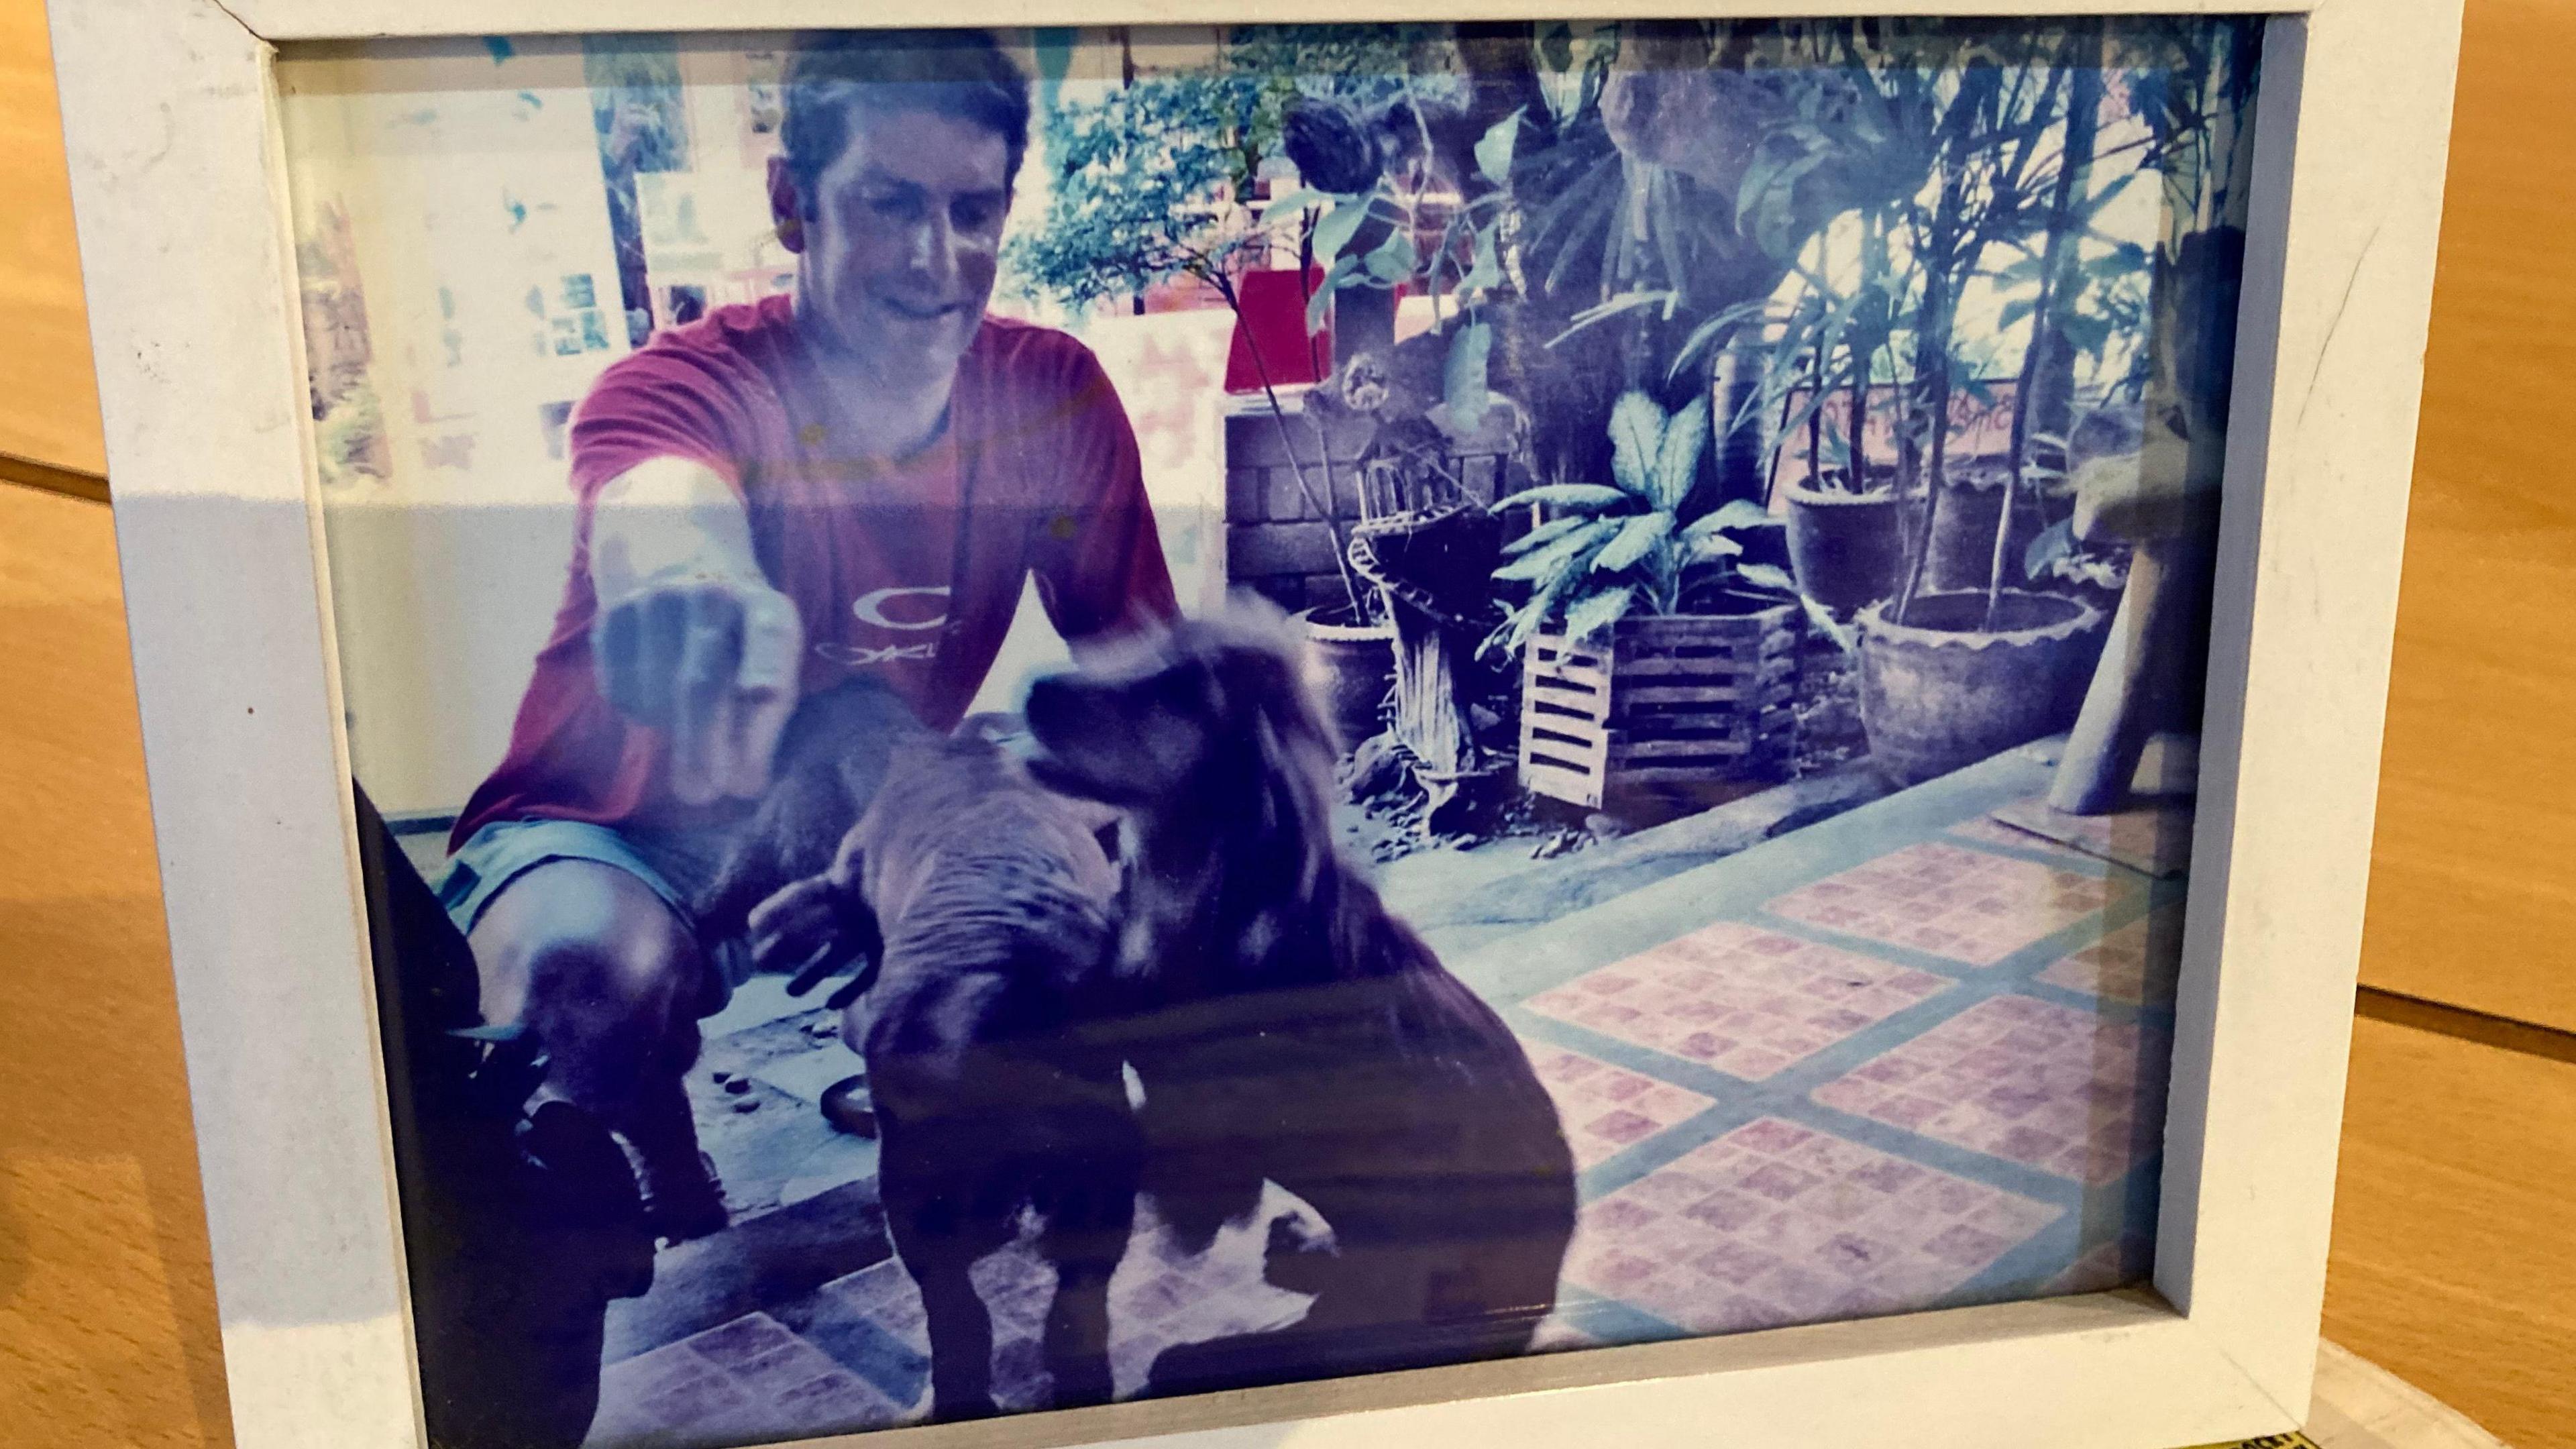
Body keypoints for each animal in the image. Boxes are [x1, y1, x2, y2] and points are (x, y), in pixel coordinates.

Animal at [1014, 610, 1576, 1402]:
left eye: (1177, 688)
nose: (1034, 688)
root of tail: (1538, 1299)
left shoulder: (1206, 1152)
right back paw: (1301, 1250)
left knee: (1306, 1335)